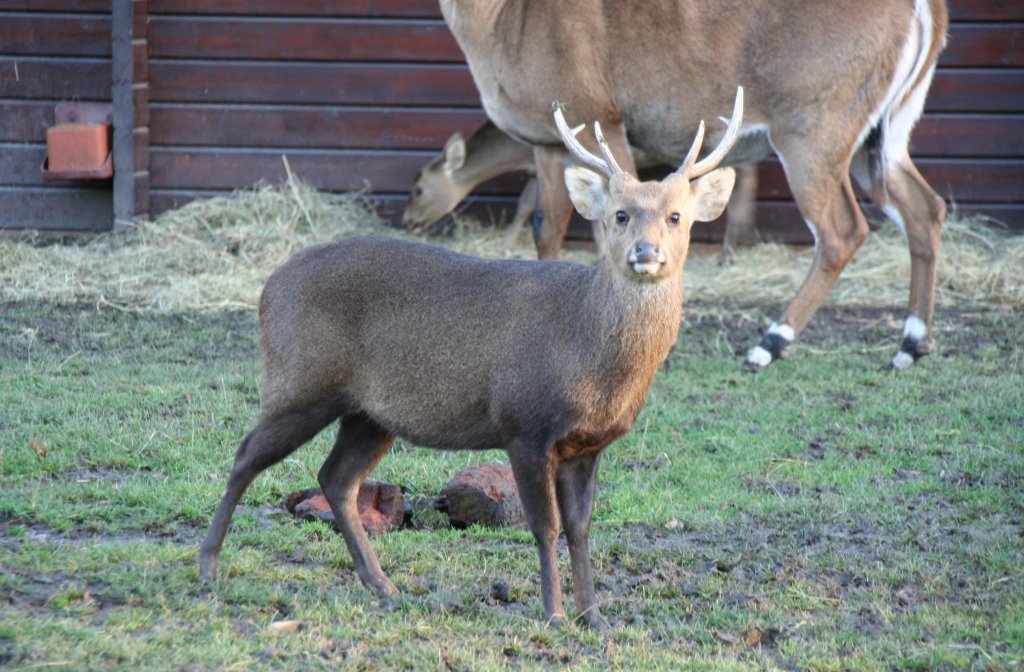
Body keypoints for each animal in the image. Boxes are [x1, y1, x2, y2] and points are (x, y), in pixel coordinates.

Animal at [401, 118, 761, 260]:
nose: (407, 221)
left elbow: (527, 204)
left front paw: (505, 243)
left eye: (418, 189)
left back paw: (728, 253)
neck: (515, 151)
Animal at [446, 0, 950, 372]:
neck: (502, 23)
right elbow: (547, 227)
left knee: (842, 229)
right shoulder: (549, 141)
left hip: (816, 125)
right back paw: (911, 343)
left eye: (676, 216)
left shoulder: (600, 114)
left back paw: (769, 343)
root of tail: (928, 11)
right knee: (925, 206)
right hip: (883, 133)